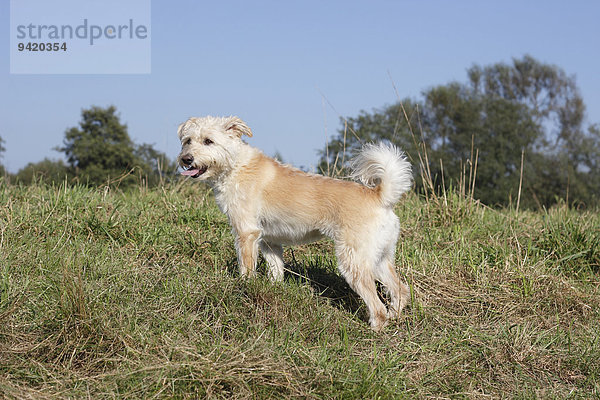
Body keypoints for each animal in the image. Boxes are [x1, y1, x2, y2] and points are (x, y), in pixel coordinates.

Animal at [178, 116, 412, 332]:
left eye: (208, 141)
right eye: (187, 140)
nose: (186, 159)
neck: (235, 165)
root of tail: (379, 196)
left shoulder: (246, 233)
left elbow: (246, 268)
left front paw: (243, 288)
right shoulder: (269, 242)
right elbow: (276, 271)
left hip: (353, 261)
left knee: (377, 306)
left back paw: (375, 329)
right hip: (379, 258)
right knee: (400, 290)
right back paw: (395, 317)